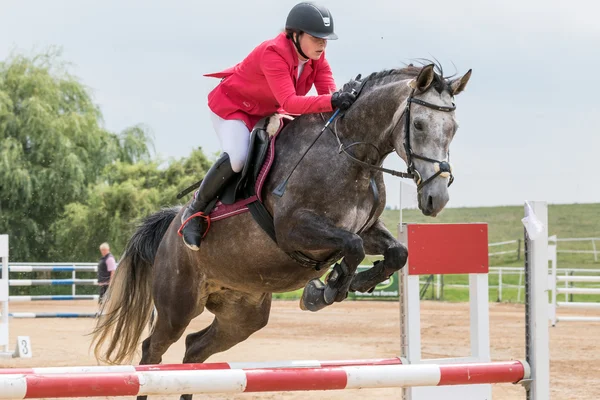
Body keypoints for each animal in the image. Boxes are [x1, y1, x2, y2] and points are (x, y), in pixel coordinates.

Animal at [91, 62, 472, 400]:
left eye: (454, 128)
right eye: (419, 125)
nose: (436, 198)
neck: (350, 154)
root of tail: (171, 229)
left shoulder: (366, 229)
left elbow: (396, 252)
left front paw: (355, 283)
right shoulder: (294, 229)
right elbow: (352, 247)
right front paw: (326, 290)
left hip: (242, 315)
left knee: (195, 350)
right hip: (177, 305)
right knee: (152, 355)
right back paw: (193, 229)